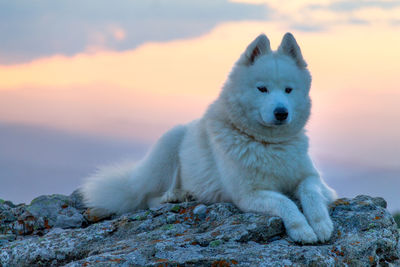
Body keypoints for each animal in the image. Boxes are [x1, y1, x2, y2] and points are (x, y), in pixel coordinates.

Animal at [82, 32, 338, 244]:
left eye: (288, 90)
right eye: (262, 89)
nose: (281, 112)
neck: (270, 144)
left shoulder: (311, 178)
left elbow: (312, 194)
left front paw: (321, 225)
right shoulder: (248, 194)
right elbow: (285, 202)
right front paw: (302, 229)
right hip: (168, 146)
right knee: (149, 199)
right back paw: (176, 195)